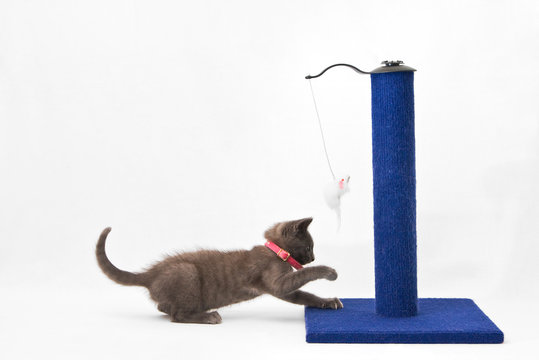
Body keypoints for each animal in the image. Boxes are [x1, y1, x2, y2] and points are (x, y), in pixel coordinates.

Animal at [96, 218, 342, 324]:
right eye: (309, 247)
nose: (313, 257)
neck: (275, 252)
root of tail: (150, 275)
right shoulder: (276, 282)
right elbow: (304, 275)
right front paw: (328, 271)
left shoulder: (283, 289)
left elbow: (306, 296)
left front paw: (328, 301)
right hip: (187, 272)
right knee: (177, 316)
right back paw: (208, 316)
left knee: (163, 306)